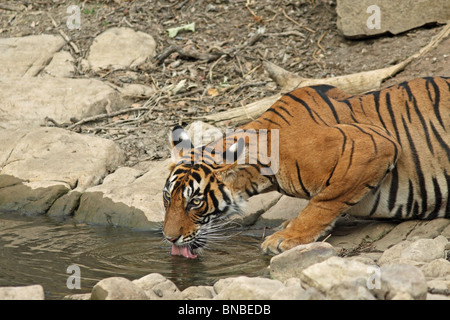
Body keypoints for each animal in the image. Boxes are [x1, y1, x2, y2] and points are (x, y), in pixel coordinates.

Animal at [163, 77, 450, 258]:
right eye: (167, 198)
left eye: (195, 202)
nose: (169, 238)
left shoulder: (374, 145)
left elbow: (323, 202)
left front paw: (286, 237)